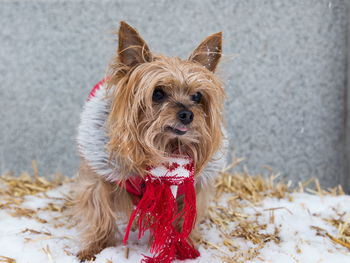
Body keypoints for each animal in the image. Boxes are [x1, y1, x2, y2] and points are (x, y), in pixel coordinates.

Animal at [73, 21, 227, 260]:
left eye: (197, 96)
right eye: (158, 93)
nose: (187, 114)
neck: (163, 145)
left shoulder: (188, 188)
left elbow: (184, 218)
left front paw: (181, 246)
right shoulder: (99, 178)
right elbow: (100, 212)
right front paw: (95, 248)